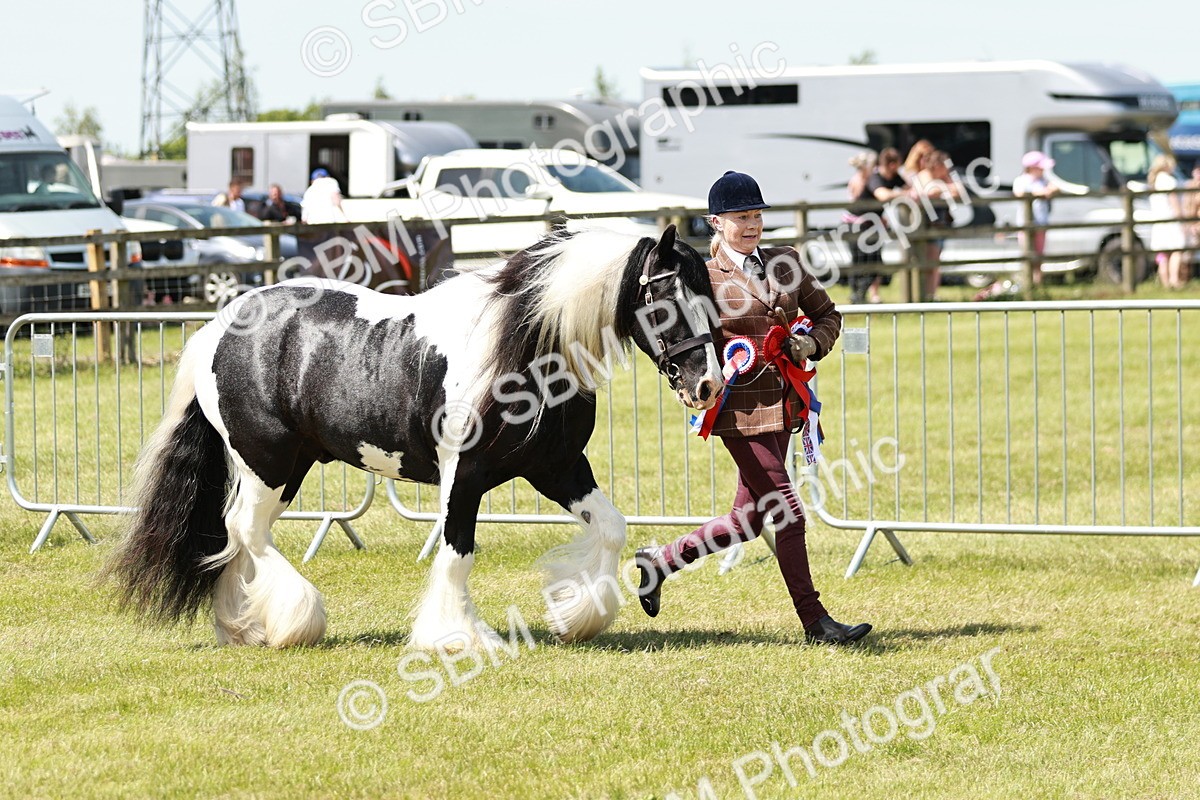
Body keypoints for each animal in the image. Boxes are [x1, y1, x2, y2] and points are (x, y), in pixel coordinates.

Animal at [107, 224, 723, 650]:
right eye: (667, 301)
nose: (708, 384)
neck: (522, 344)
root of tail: (217, 328)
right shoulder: (464, 476)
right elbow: (456, 555)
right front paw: (457, 638)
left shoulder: (558, 468)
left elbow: (613, 529)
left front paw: (575, 616)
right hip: (268, 462)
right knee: (244, 530)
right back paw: (297, 621)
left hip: (289, 466)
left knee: (237, 535)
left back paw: (245, 628)